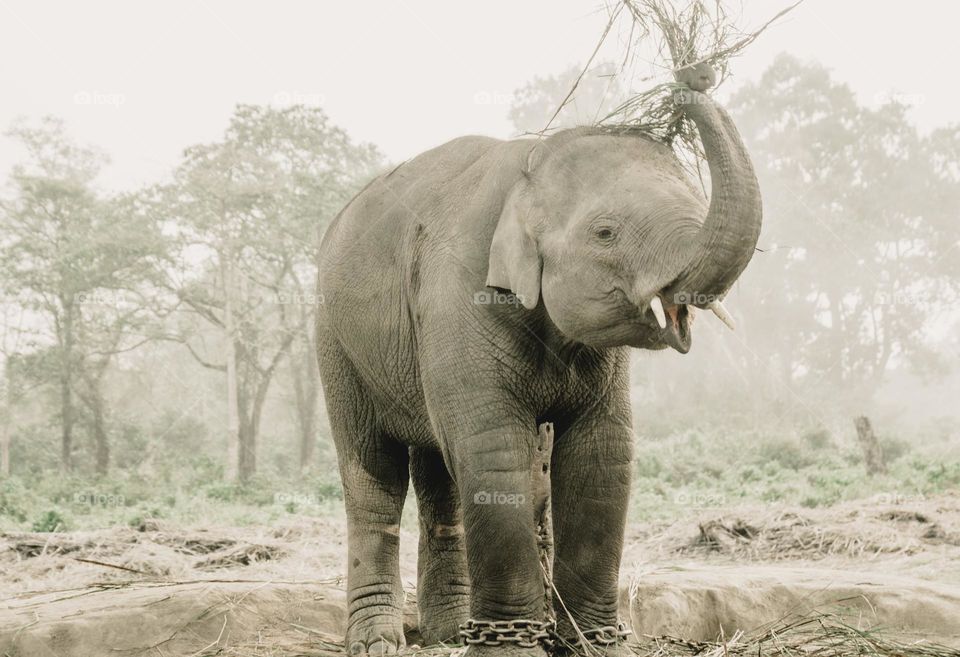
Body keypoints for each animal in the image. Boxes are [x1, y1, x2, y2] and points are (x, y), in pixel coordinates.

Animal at [315, 70, 761, 657]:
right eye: (605, 232)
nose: (692, 76)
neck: (527, 167)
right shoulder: (458, 293)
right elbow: (493, 449)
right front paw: (512, 648)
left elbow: (602, 455)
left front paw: (598, 645)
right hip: (335, 343)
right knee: (373, 472)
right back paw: (378, 642)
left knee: (441, 479)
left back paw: (450, 634)